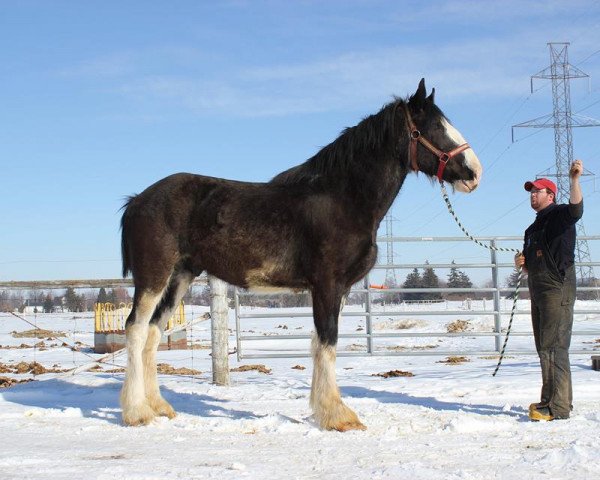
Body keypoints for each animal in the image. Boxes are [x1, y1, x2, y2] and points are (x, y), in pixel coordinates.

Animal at [118, 79, 482, 432]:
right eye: (432, 127)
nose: (474, 172)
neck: (343, 198)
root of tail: (137, 200)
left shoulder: (339, 289)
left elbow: (321, 344)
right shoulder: (326, 285)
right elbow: (327, 343)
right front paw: (338, 416)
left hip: (179, 277)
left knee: (153, 332)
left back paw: (159, 407)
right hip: (154, 277)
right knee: (135, 328)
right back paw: (137, 413)